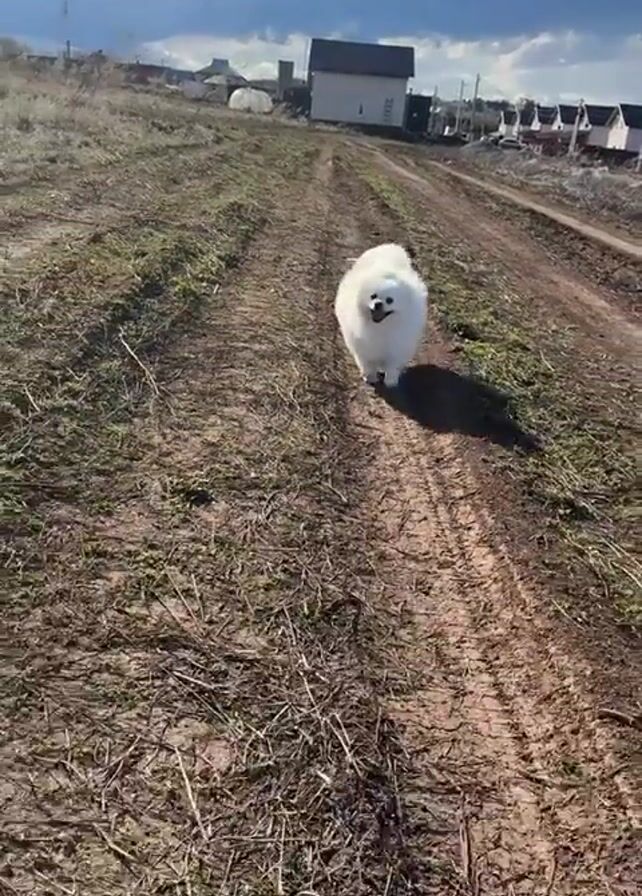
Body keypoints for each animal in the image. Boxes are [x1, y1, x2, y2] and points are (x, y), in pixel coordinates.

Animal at [334, 243, 428, 388]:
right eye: (373, 296)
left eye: (390, 300)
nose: (378, 304)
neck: (381, 328)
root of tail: (389, 246)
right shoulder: (363, 346)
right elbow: (367, 364)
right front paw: (370, 377)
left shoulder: (397, 346)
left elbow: (392, 366)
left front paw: (391, 381)